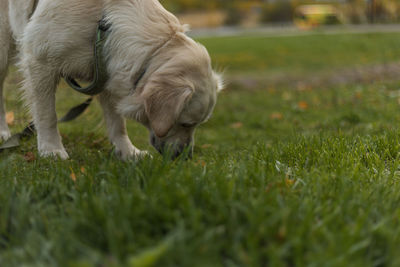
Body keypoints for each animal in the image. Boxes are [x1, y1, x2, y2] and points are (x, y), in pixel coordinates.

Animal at [0, 0, 222, 159]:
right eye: (185, 124)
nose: (186, 157)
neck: (104, 19)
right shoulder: (40, 61)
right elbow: (48, 115)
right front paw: (51, 149)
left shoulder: (106, 71)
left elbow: (118, 123)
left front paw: (128, 152)